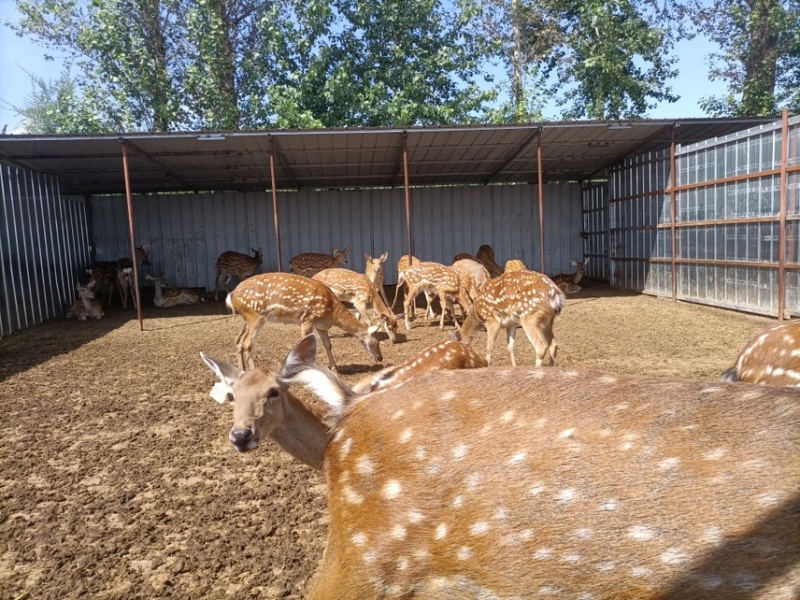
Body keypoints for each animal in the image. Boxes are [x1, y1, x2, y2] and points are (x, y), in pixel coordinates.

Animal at [224, 272, 382, 373]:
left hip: (247, 318)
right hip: (256, 316)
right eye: (375, 342)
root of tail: (232, 295)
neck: (331, 314)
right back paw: (254, 371)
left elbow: (328, 345)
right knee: (247, 343)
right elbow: (306, 343)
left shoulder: (321, 326)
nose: (380, 358)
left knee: (238, 340)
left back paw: (242, 370)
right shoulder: (307, 320)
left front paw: (335, 369)